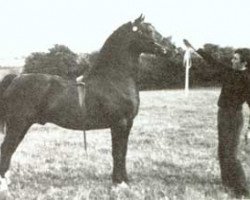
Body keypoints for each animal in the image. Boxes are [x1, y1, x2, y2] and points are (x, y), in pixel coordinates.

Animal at [0, 15, 167, 188]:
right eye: (147, 31)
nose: (165, 50)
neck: (114, 79)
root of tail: (16, 78)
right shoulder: (119, 123)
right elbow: (117, 153)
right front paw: (118, 183)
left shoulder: (128, 124)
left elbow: (123, 152)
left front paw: (124, 181)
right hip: (18, 125)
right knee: (6, 149)